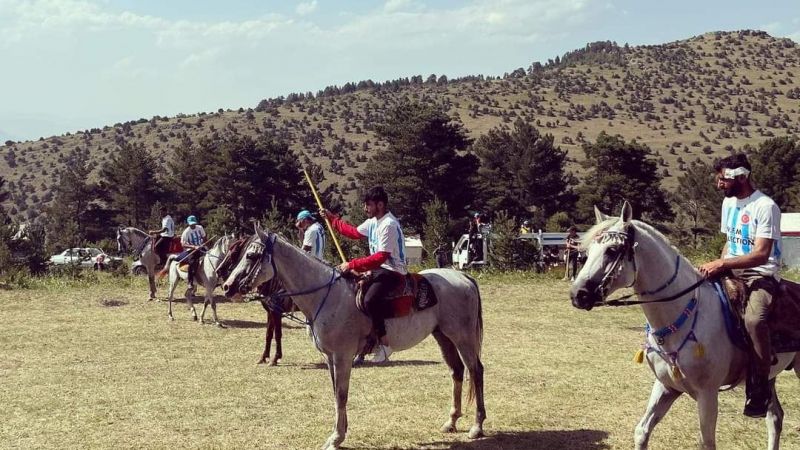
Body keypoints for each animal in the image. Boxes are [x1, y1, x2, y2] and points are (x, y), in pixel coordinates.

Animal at [217, 225, 488, 450]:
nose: (227, 286)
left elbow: (342, 393)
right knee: (457, 371)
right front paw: (340, 432)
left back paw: (477, 426)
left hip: (463, 337)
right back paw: (451, 422)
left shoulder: (342, 355)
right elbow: (336, 391)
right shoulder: (330, 357)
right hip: (443, 336)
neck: (327, 295)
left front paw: (336, 438)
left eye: (250, 256)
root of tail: (464, 278)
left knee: (476, 371)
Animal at [568, 201, 800, 450]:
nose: (577, 294)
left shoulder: (707, 395)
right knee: (775, 418)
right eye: (586, 252)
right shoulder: (665, 386)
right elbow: (642, 431)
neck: (681, 318)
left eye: (611, 250)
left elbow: (706, 443)